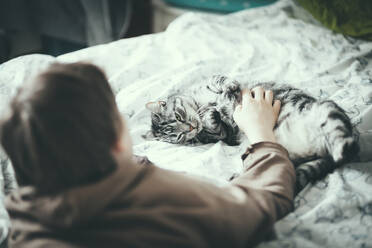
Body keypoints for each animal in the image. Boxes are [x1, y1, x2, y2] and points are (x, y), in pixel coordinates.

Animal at [144, 75, 358, 192]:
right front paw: (211, 113)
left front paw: (225, 90)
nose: (189, 129)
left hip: (327, 109)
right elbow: (215, 125)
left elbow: (219, 80)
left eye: (178, 116)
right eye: (178, 137)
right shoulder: (225, 134)